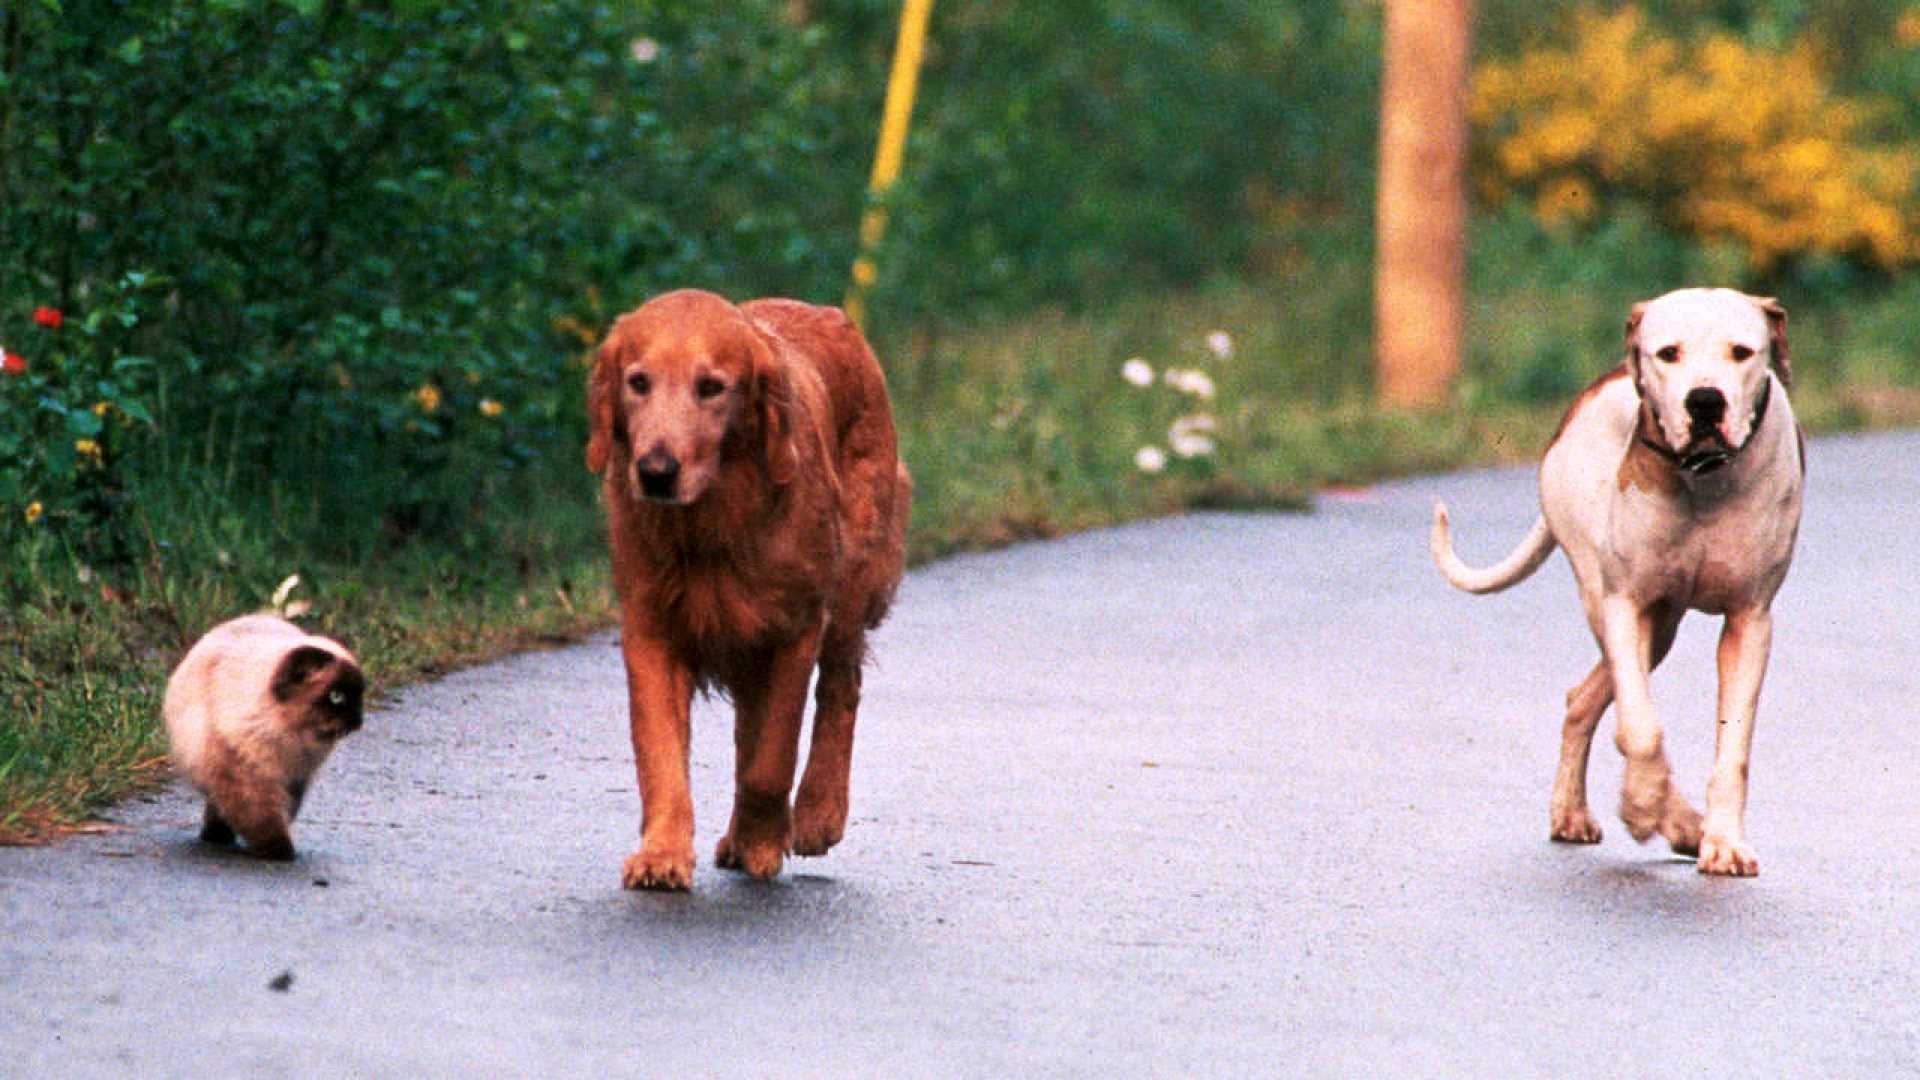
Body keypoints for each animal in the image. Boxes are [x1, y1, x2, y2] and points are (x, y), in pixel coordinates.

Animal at [163, 614, 364, 857]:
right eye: (336, 697)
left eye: (360, 698)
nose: (358, 721)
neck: (290, 738)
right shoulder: (245, 774)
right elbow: (261, 818)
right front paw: (279, 852)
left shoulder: (296, 779)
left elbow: (280, 813)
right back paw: (216, 836)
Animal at [587, 290, 910, 887]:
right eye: (638, 382)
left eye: (711, 387)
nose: (656, 471)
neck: (710, 525)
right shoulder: (652, 628)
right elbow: (661, 755)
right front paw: (662, 853)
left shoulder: (794, 627)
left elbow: (772, 758)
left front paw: (765, 839)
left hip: (850, 584)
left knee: (841, 689)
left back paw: (817, 813)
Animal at [1443, 288, 1797, 876]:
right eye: (1669, 353)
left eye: (1742, 352)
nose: (1705, 401)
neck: (1702, 482)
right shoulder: (1626, 604)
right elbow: (1640, 728)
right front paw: (1643, 803)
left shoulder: (1750, 620)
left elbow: (1734, 749)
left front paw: (1723, 841)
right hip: (1617, 605)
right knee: (1602, 698)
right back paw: (1655, 814)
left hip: (1662, 627)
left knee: (1584, 700)